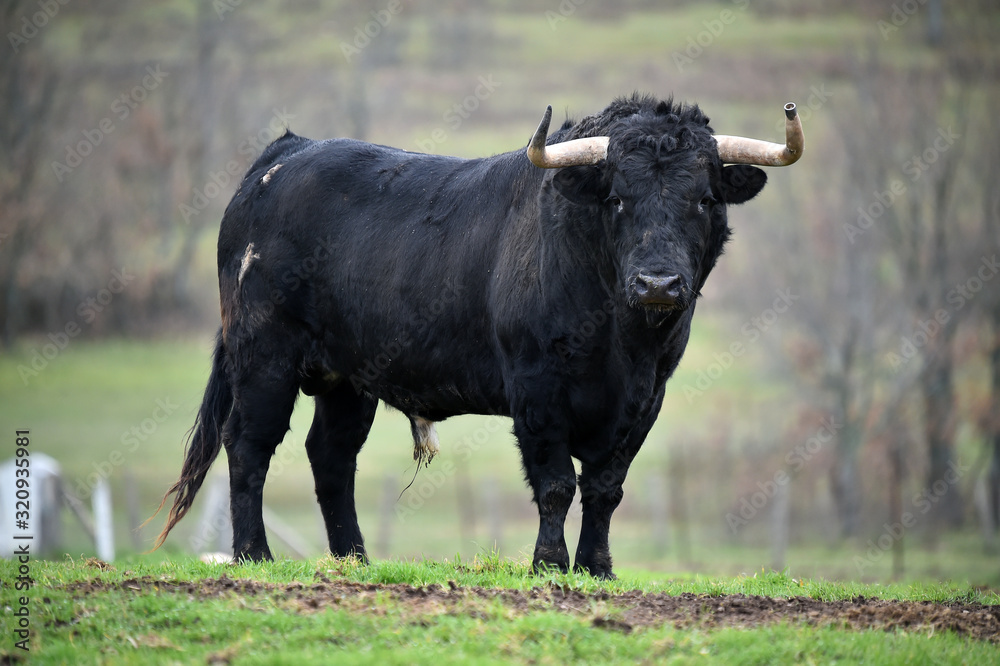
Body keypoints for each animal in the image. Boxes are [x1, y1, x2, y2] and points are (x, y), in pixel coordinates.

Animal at [152, 93, 800, 576]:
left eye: (704, 198)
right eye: (617, 199)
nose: (658, 283)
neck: (620, 342)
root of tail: (287, 153)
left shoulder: (645, 399)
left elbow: (605, 488)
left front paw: (597, 568)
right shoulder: (536, 388)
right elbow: (556, 483)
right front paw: (548, 565)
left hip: (348, 376)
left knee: (331, 456)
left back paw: (355, 560)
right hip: (264, 354)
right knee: (249, 443)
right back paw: (254, 554)